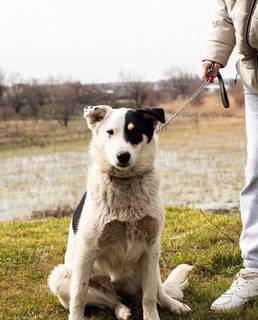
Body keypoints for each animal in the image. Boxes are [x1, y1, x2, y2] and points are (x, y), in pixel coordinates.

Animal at [49, 105, 191, 320]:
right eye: (110, 132)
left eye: (134, 131)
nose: (123, 156)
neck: (126, 183)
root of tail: (122, 290)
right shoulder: (87, 250)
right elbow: (79, 297)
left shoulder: (151, 246)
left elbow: (149, 297)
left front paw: (153, 315)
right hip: (60, 277)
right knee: (109, 300)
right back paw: (122, 310)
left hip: (152, 265)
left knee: (157, 291)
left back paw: (172, 304)